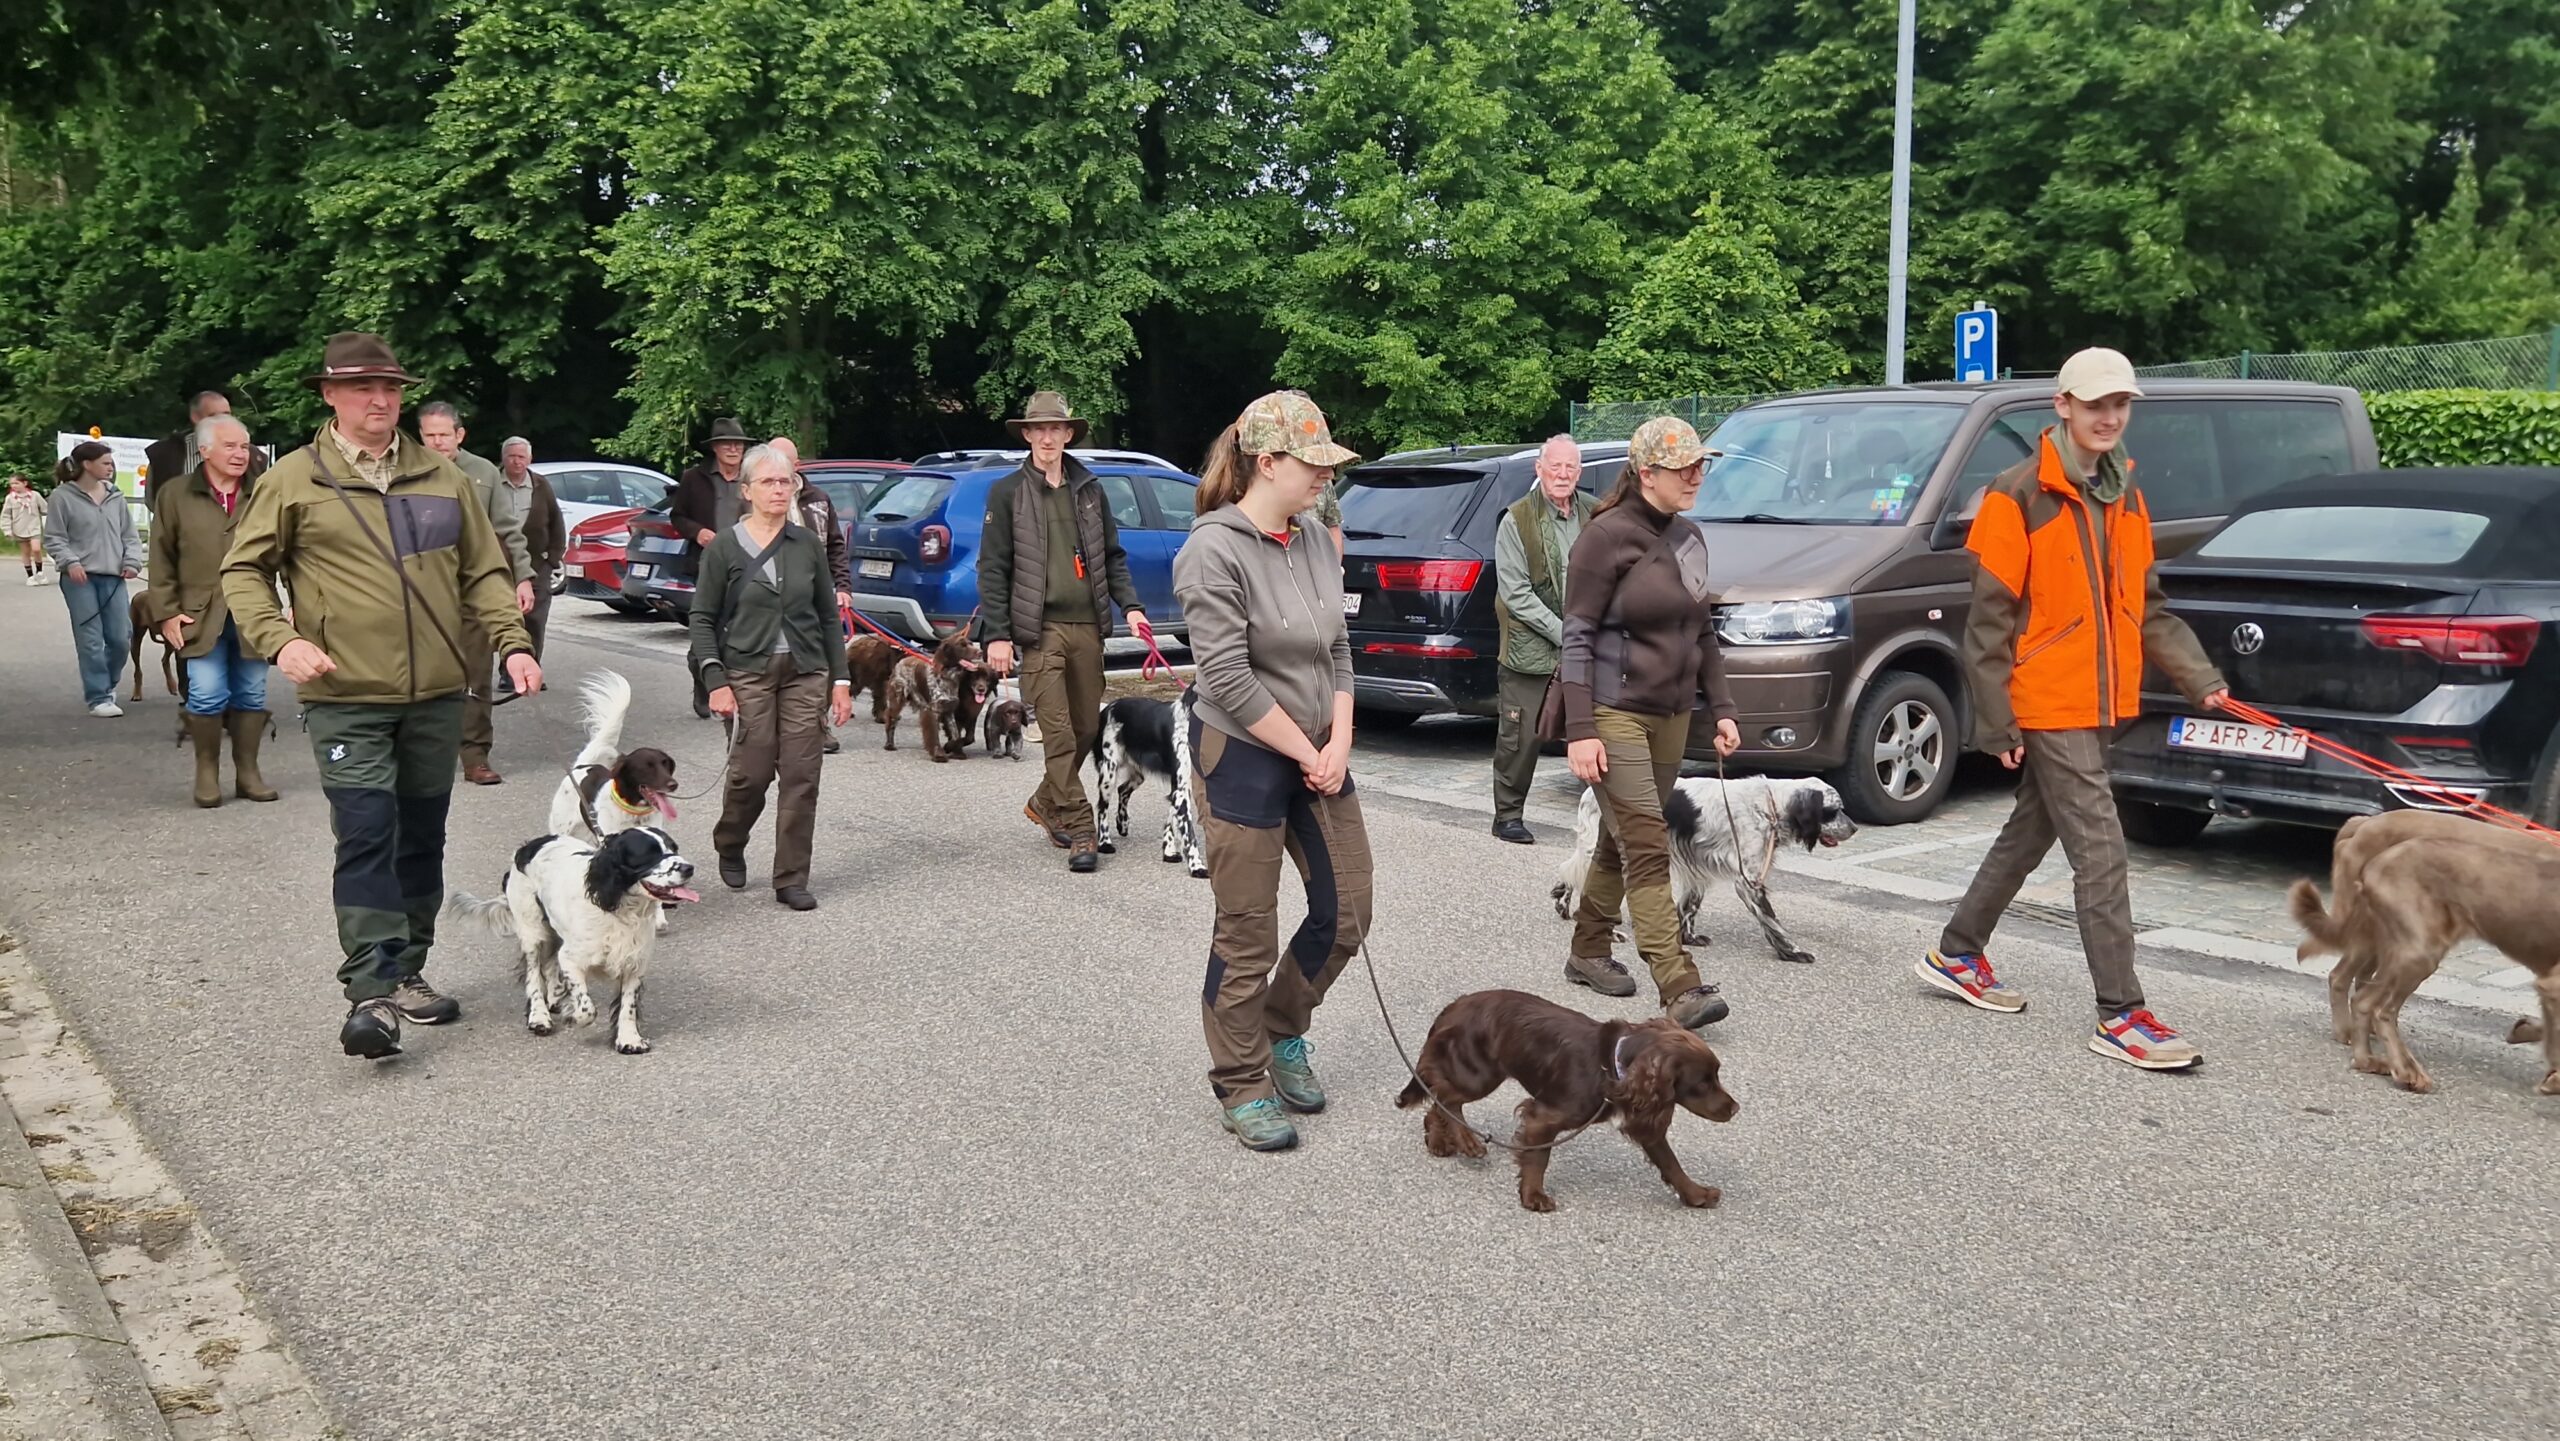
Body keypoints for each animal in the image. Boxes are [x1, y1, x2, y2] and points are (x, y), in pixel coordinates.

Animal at [445, 829, 696, 1054]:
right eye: (649, 854)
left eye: (674, 848)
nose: (688, 868)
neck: (621, 910)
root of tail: (528, 846)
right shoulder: (571, 958)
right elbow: (587, 1009)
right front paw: (572, 1014)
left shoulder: (634, 962)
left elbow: (628, 1006)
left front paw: (629, 1040)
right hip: (532, 931)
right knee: (534, 974)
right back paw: (539, 1017)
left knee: (549, 965)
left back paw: (555, 997)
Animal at [1090, 691, 1208, 880]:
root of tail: (1107, 708)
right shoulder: (1181, 787)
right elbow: (1189, 832)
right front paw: (1196, 866)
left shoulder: (1181, 788)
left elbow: (1172, 818)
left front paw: (1169, 850)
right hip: (1109, 771)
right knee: (1102, 806)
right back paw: (1104, 842)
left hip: (1138, 774)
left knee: (1122, 790)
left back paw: (1123, 823)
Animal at [1402, 987, 1740, 1213]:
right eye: (1703, 1082)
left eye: (1717, 1074)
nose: (1735, 1109)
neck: (1612, 1066)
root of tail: (1455, 1005)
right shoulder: (1543, 1116)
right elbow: (1538, 1158)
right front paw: (1533, 1197)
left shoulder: (1647, 1119)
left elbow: (1670, 1162)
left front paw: (1696, 1194)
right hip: (1480, 1073)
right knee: (1444, 1095)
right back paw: (1467, 1141)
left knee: (1437, 1098)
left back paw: (1439, 1141)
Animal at [1546, 778, 1853, 967]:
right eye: (1834, 810)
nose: (1854, 828)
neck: (1770, 806)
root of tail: (1591, 790)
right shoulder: (1747, 881)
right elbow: (1772, 921)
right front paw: (1793, 952)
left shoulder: (1700, 867)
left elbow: (1689, 907)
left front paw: (1689, 938)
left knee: (1570, 873)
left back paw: (1562, 902)